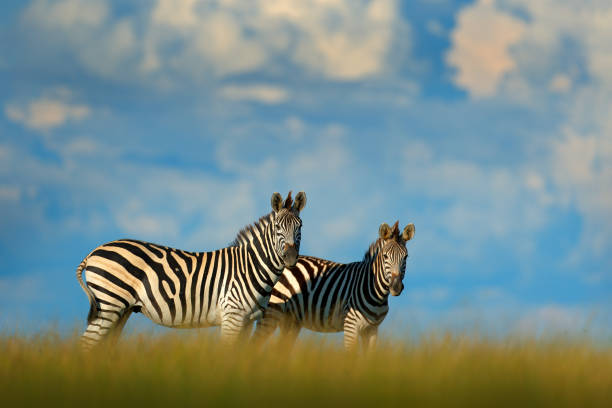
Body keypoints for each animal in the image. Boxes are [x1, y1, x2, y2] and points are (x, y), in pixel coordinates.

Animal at [76, 190, 306, 348]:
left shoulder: (248, 321)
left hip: (121, 309)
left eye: (300, 226)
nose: (291, 258)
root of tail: (94, 251)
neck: (251, 267)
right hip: (109, 303)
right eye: (277, 227)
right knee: (87, 344)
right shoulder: (232, 316)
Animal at [251, 220, 414, 350]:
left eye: (406, 257)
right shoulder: (351, 325)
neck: (374, 290)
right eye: (386, 256)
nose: (396, 287)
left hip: (290, 321)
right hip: (272, 311)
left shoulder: (372, 330)